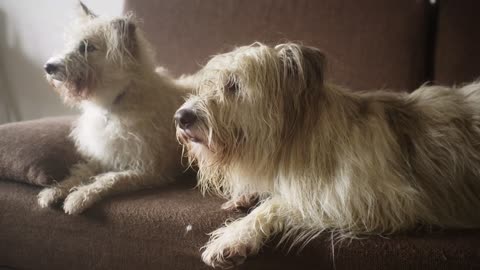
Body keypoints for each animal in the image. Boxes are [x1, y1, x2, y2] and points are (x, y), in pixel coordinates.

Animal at [37, 1, 188, 213]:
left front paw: (79, 196)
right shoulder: (103, 157)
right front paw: (55, 191)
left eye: (87, 47)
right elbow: (78, 173)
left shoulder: (148, 170)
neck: (115, 102)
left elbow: (110, 178)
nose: (48, 67)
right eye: (71, 44)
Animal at [174, 42, 480, 268]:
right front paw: (247, 195)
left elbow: (283, 201)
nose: (181, 117)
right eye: (207, 84)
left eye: (234, 86)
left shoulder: (377, 199)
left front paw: (235, 236)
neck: (300, 134)